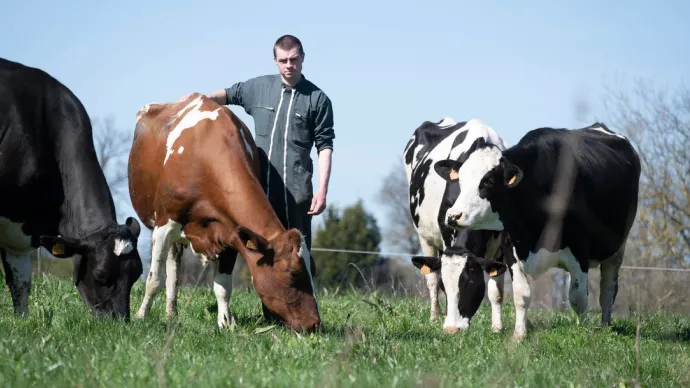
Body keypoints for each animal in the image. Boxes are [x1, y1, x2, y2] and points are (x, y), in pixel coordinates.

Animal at [127, 93, 320, 334]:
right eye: (293, 273)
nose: (315, 323)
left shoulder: (231, 233)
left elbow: (223, 286)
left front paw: (225, 323)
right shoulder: (163, 225)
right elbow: (154, 280)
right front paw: (141, 316)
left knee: (174, 270)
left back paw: (172, 313)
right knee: (169, 271)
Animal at [404, 117, 510, 334]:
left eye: (469, 283)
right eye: (446, 286)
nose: (452, 329)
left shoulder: (501, 244)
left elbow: (496, 291)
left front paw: (496, 328)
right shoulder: (447, 231)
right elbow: (436, 279)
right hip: (424, 237)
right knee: (431, 278)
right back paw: (434, 316)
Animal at [436, 121, 640, 340]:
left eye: (488, 182)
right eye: (461, 181)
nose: (453, 215)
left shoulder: (579, 250)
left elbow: (578, 297)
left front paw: (584, 332)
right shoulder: (511, 249)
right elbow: (521, 295)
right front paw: (519, 334)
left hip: (617, 248)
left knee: (607, 289)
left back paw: (604, 325)